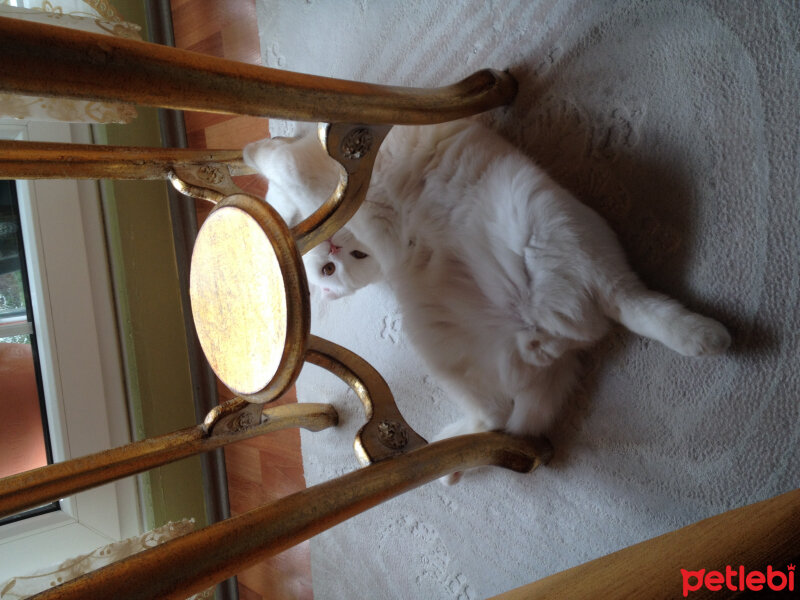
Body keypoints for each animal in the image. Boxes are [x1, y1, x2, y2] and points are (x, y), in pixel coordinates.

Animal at [244, 118, 732, 450]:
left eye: (346, 263)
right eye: (329, 270)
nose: (334, 251)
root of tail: (545, 338)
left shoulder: (330, 175)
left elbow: (279, 160)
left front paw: (253, 151)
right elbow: (281, 167)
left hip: (554, 231)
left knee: (631, 303)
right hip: (438, 344)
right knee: (499, 416)